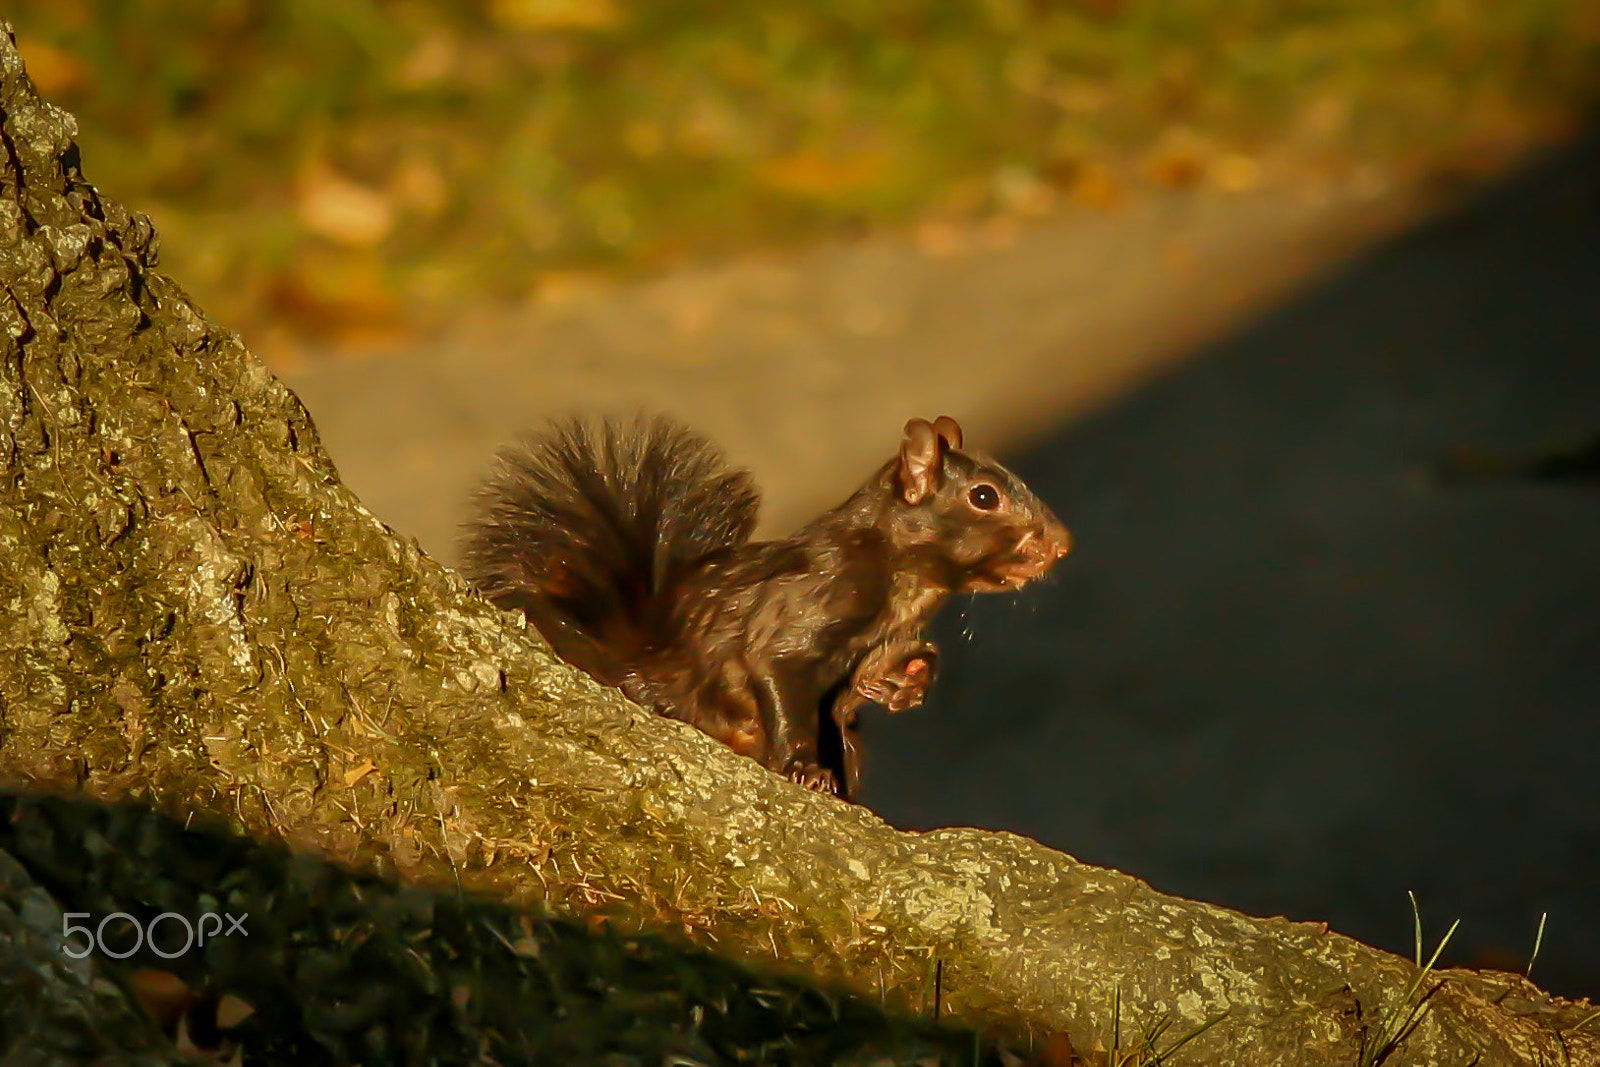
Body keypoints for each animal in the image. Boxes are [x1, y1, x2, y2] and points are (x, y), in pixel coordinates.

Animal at [457, 415, 1068, 799]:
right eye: (984, 496)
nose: (1063, 544)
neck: (905, 583)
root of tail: (639, 653)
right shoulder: (804, 607)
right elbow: (779, 671)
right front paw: (805, 771)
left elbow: (859, 689)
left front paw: (907, 678)